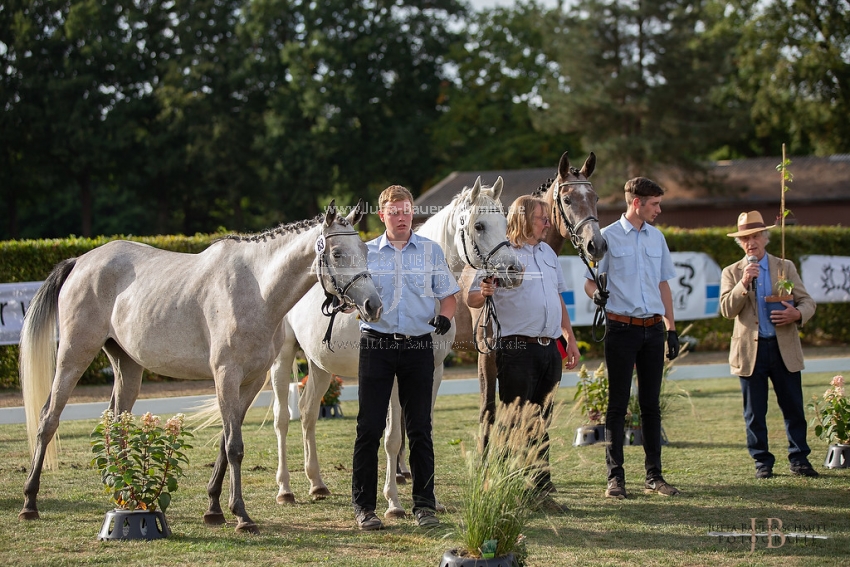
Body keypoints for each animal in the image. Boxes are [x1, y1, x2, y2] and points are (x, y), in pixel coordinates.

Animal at [15, 202, 380, 536]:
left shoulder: (249, 382)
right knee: (48, 419)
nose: (372, 305)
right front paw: (241, 515)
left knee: (116, 421)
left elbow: (224, 442)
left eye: (364, 250)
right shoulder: (226, 375)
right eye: (337, 253)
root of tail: (79, 262)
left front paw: (214, 509)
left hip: (127, 366)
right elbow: (234, 446)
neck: (257, 289)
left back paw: (122, 492)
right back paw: (30, 503)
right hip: (73, 357)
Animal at [274, 179, 520, 520]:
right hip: (282, 358)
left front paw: (431, 500)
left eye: (505, 222)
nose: (514, 270)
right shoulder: (391, 379)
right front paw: (393, 503)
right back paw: (285, 490)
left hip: (320, 365)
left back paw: (317, 484)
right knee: (283, 418)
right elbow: (392, 438)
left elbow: (421, 428)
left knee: (308, 412)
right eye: (479, 226)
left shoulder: (432, 373)